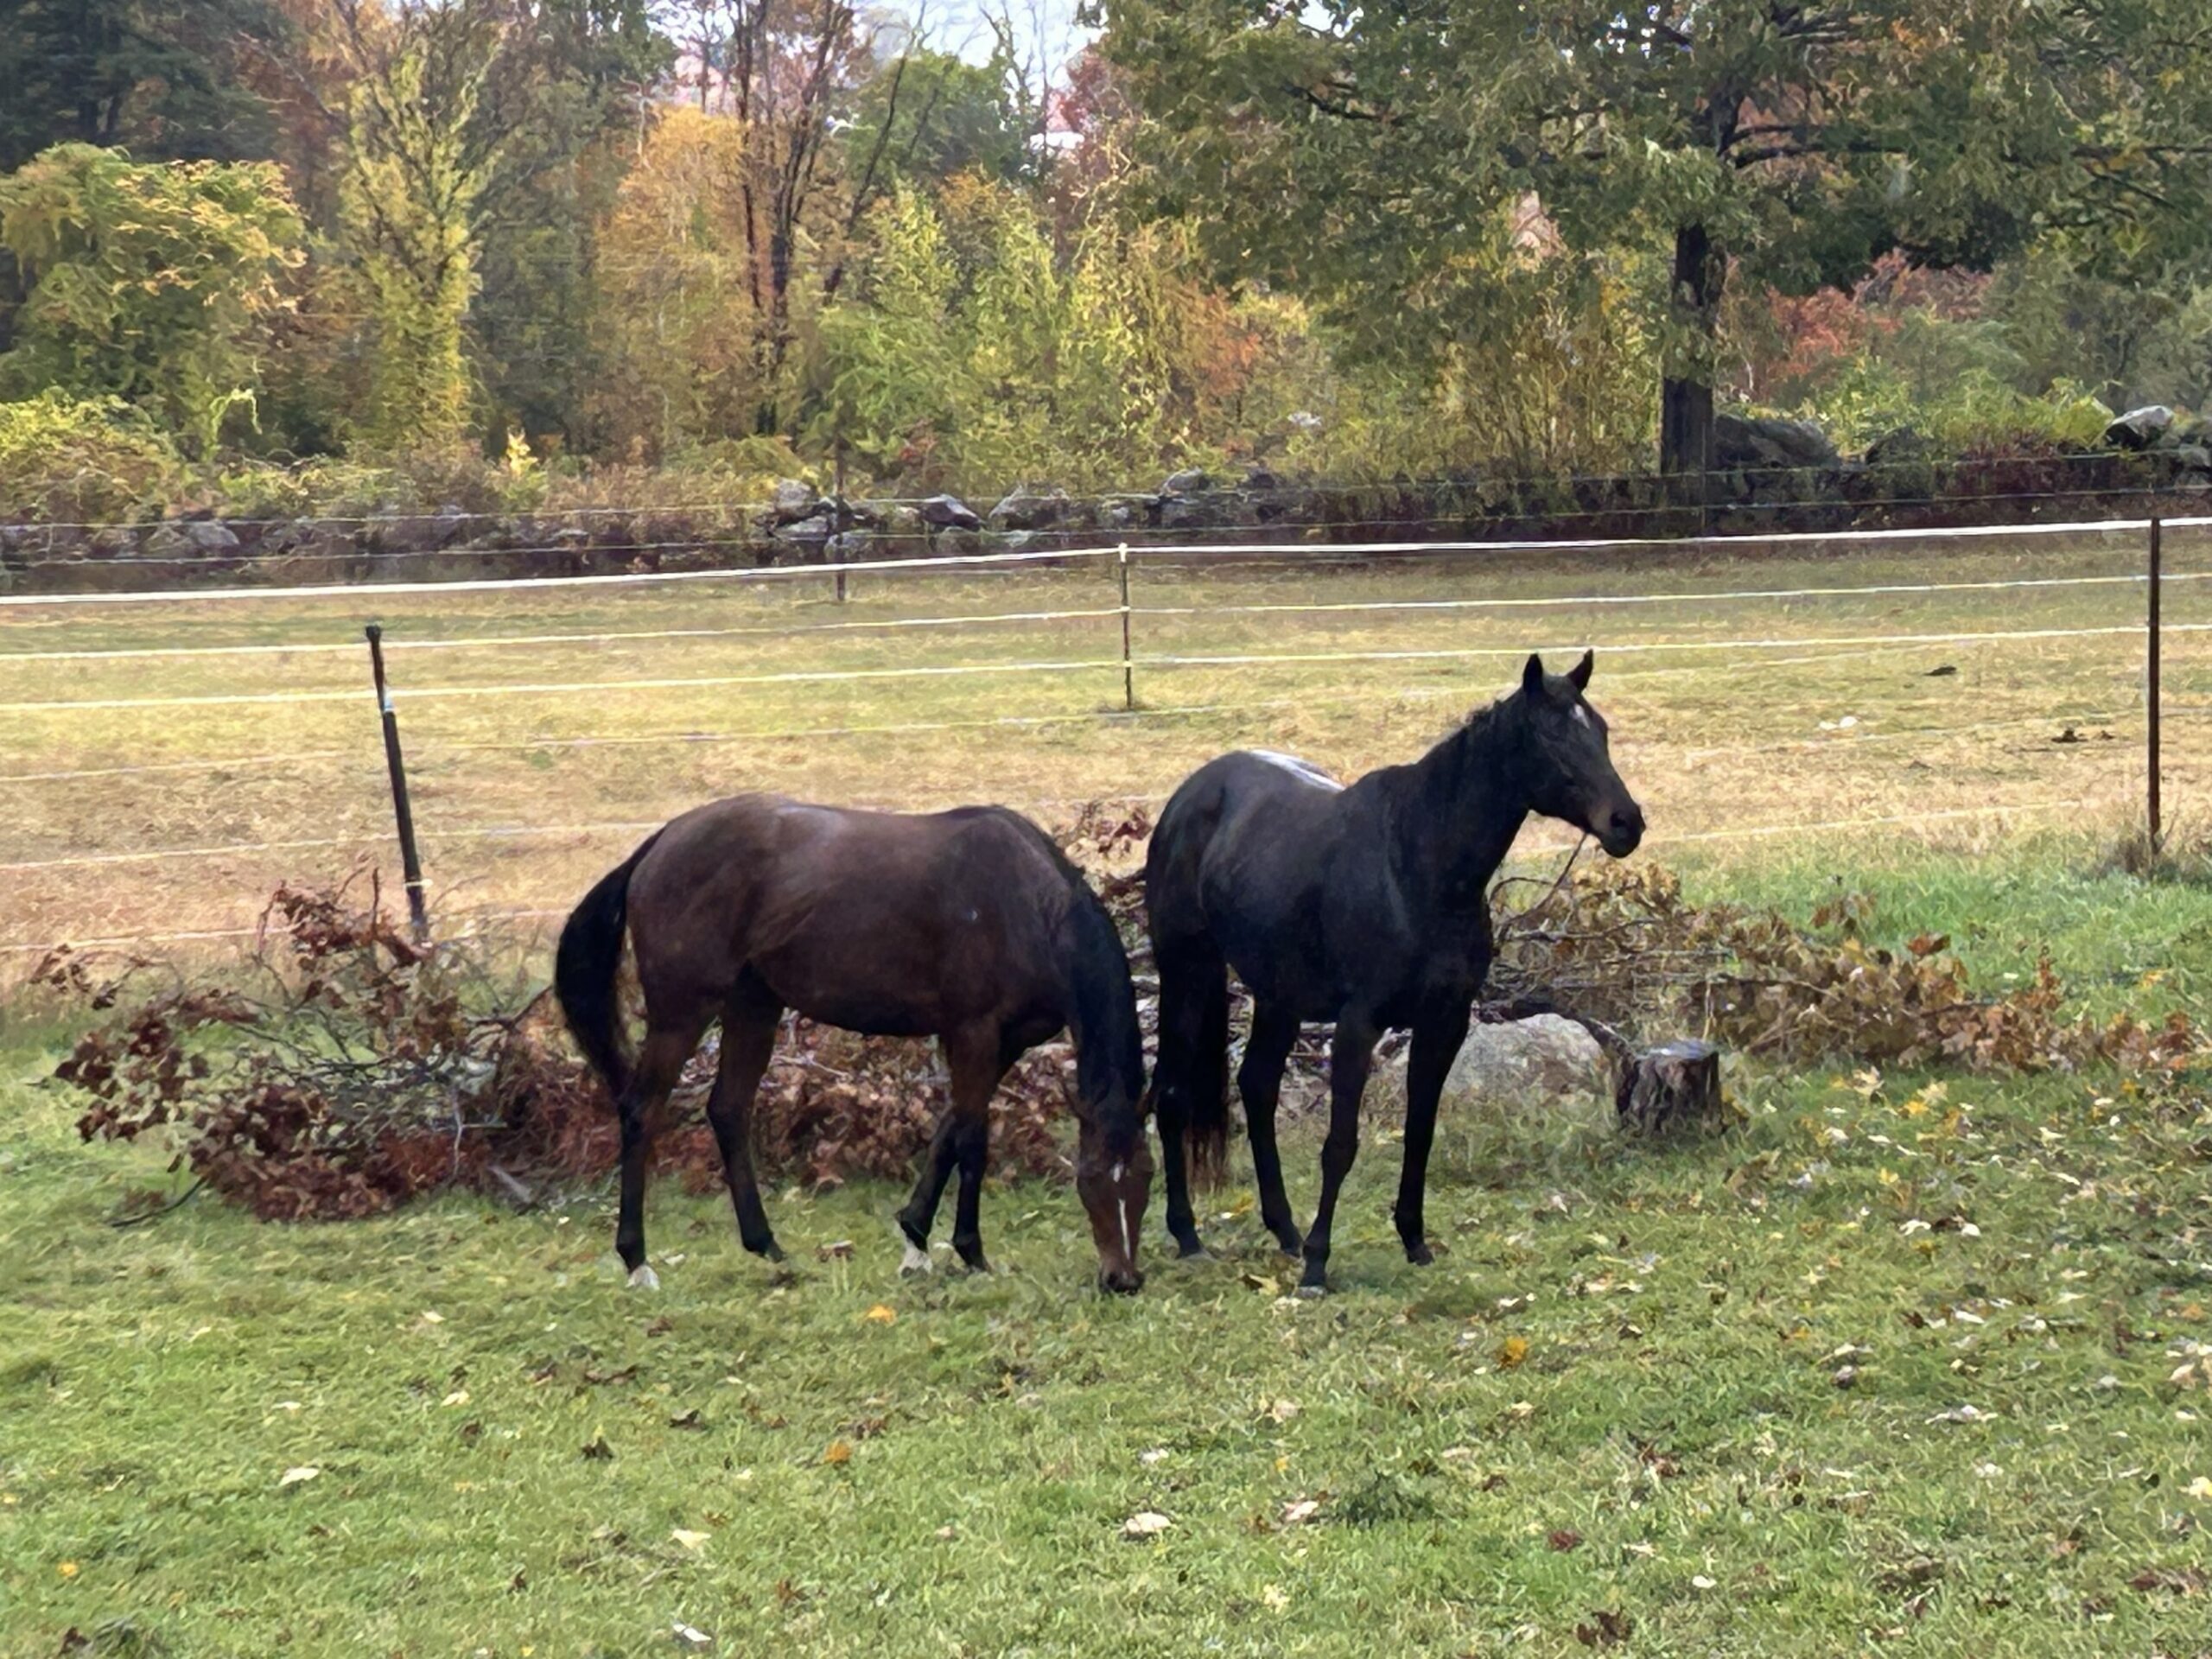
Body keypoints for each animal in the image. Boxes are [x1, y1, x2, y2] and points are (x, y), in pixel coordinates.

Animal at [554, 794, 1154, 1294]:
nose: (1122, 1279)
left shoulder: (1005, 1043)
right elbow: (973, 1140)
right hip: (683, 1014)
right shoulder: (975, 1032)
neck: (1026, 902)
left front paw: (916, 1239)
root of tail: (662, 841)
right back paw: (637, 1260)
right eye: (1090, 1179)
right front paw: (971, 1251)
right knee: (641, 1110)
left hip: (754, 1007)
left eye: (1146, 1176)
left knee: (727, 1110)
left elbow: (949, 1131)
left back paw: (767, 1245)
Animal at [1143, 650, 1644, 1292]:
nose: (1626, 823)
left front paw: (1413, 1241)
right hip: (1189, 974)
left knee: (1256, 1087)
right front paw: (1318, 1264)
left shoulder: (1444, 1023)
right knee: (1171, 1094)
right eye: (1552, 735)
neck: (1418, 863)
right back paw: (1189, 1236)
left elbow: (1420, 1132)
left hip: (1279, 996)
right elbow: (1341, 1143)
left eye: (1600, 730)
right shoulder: (1359, 1025)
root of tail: (1189, 796)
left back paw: (1283, 1231)